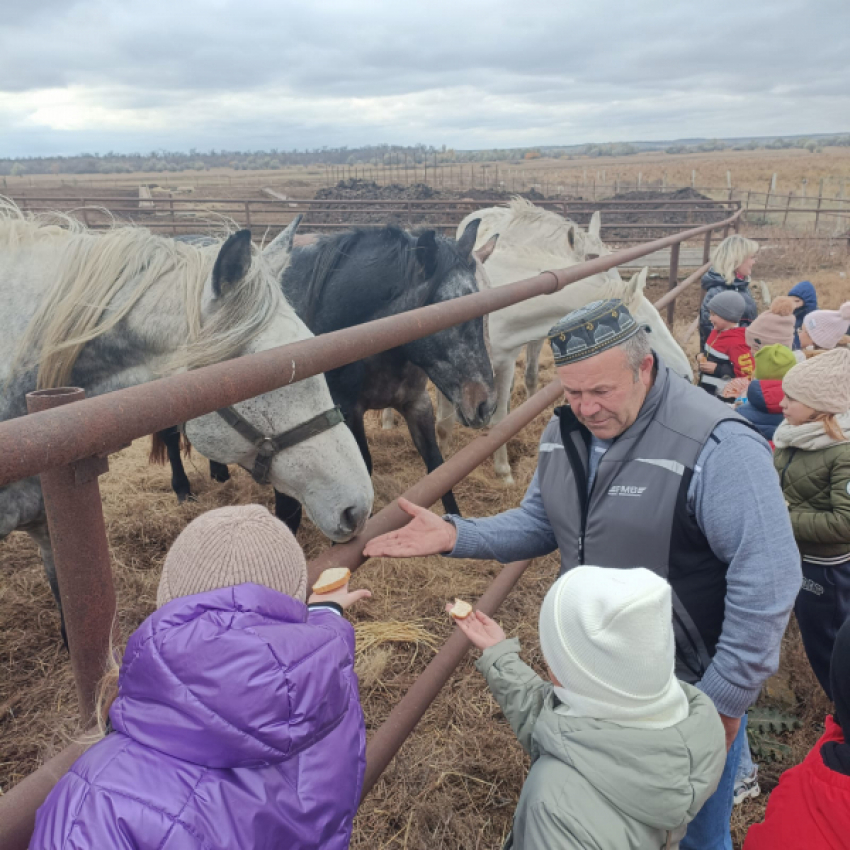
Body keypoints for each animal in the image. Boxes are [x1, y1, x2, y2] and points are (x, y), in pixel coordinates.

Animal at [434, 195, 692, 480]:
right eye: (646, 328)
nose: (688, 374)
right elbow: (445, 419)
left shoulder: (504, 361)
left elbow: (500, 421)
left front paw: (503, 472)